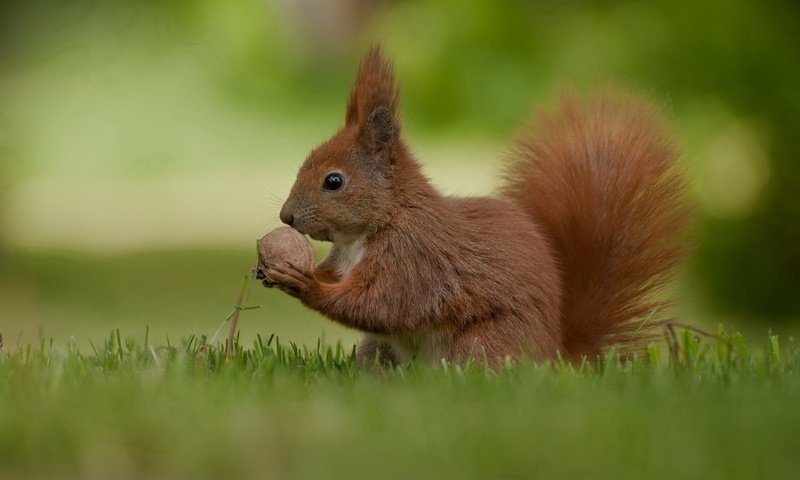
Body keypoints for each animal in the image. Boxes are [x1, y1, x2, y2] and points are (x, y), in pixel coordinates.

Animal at [260, 46, 692, 368]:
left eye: (334, 181)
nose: (286, 217)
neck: (370, 229)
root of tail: (555, 355)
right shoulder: (347, 260)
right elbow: (341, 281)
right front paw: (275, 270)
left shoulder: (415, 259)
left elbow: (380, 305)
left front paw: (305, 284)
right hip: (378, 350)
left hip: (482, 343)